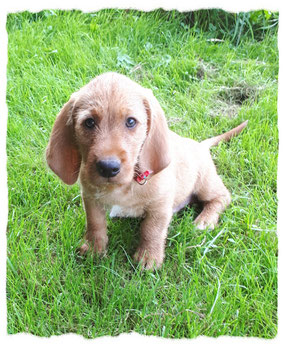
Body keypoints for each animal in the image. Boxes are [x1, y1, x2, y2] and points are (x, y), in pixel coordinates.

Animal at [45, 71, 247, 270]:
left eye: (131, 121)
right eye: (89, 122)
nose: (108, 167)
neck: (124, 185)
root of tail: (200, 145)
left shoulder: (160, 205)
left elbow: (152, 230)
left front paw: (149, 257)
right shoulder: (90, 198)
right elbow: (95, 224)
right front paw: (94, 249)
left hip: (205, 182)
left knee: (222, 197)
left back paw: (205, 220)